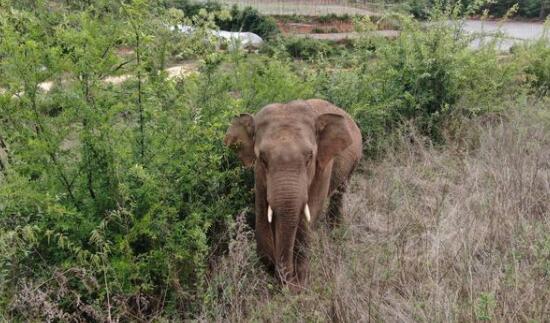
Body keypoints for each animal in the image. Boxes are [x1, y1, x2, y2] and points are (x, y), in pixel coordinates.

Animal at [224, 98, 362, 292]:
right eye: (262, 158)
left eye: (310, 157)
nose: (288, 282)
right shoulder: (258, 175)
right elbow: (263, 215)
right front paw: (273, 273)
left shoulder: (322, 167)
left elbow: (308, 214)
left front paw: (300, 283)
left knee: (339, 193)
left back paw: (334, 231)